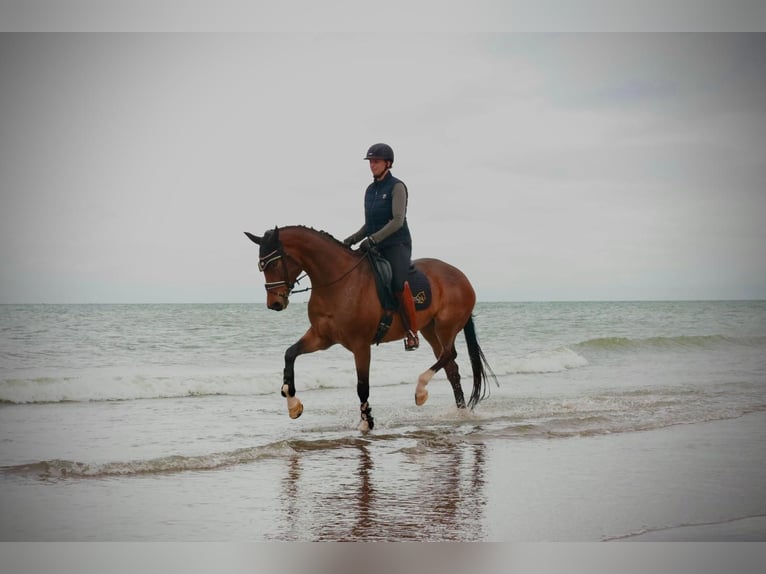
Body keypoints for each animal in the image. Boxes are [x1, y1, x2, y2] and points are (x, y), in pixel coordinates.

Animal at [244, 225, 497, 431]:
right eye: (261, 266)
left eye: (275, 262)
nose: (275, 304)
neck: (337, 282)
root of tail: (461, 276)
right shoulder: (321, 338)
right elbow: (290, 354)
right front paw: (293, 404)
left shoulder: (361, 345)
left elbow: (362, 386)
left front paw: (367, 422)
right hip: (429, 329)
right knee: (451, 366)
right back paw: (460, 413)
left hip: (446, 326)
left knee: (449, 354)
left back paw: (421, 391)